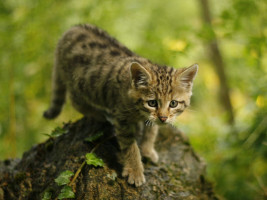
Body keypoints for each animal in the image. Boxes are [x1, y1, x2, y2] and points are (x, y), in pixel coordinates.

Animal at [43, 24, 199, 187]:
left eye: (173, 103)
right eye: (152, 103)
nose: (163, 118)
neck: (138, 111)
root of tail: (71, 30)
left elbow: (151, 130)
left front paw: (148, 150)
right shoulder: (122, 118)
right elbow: (130, 145)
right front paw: (135, 170)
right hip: (80, 84)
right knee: (76, 102)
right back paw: (102, 115)